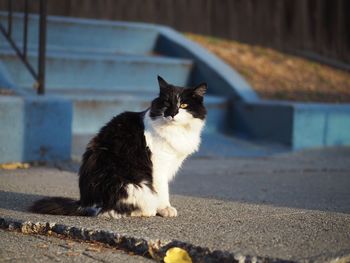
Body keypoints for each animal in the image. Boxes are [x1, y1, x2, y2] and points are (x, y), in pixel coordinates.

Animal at [30, 76, 206, 219]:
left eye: (184, 105)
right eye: (167, 103)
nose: (172, 113)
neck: (176, 131)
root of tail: (84, 203)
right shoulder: (159, 167)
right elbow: (163, 190)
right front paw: (165, 209)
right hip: (133, 185)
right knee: (112, 211)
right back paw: (147, 211)